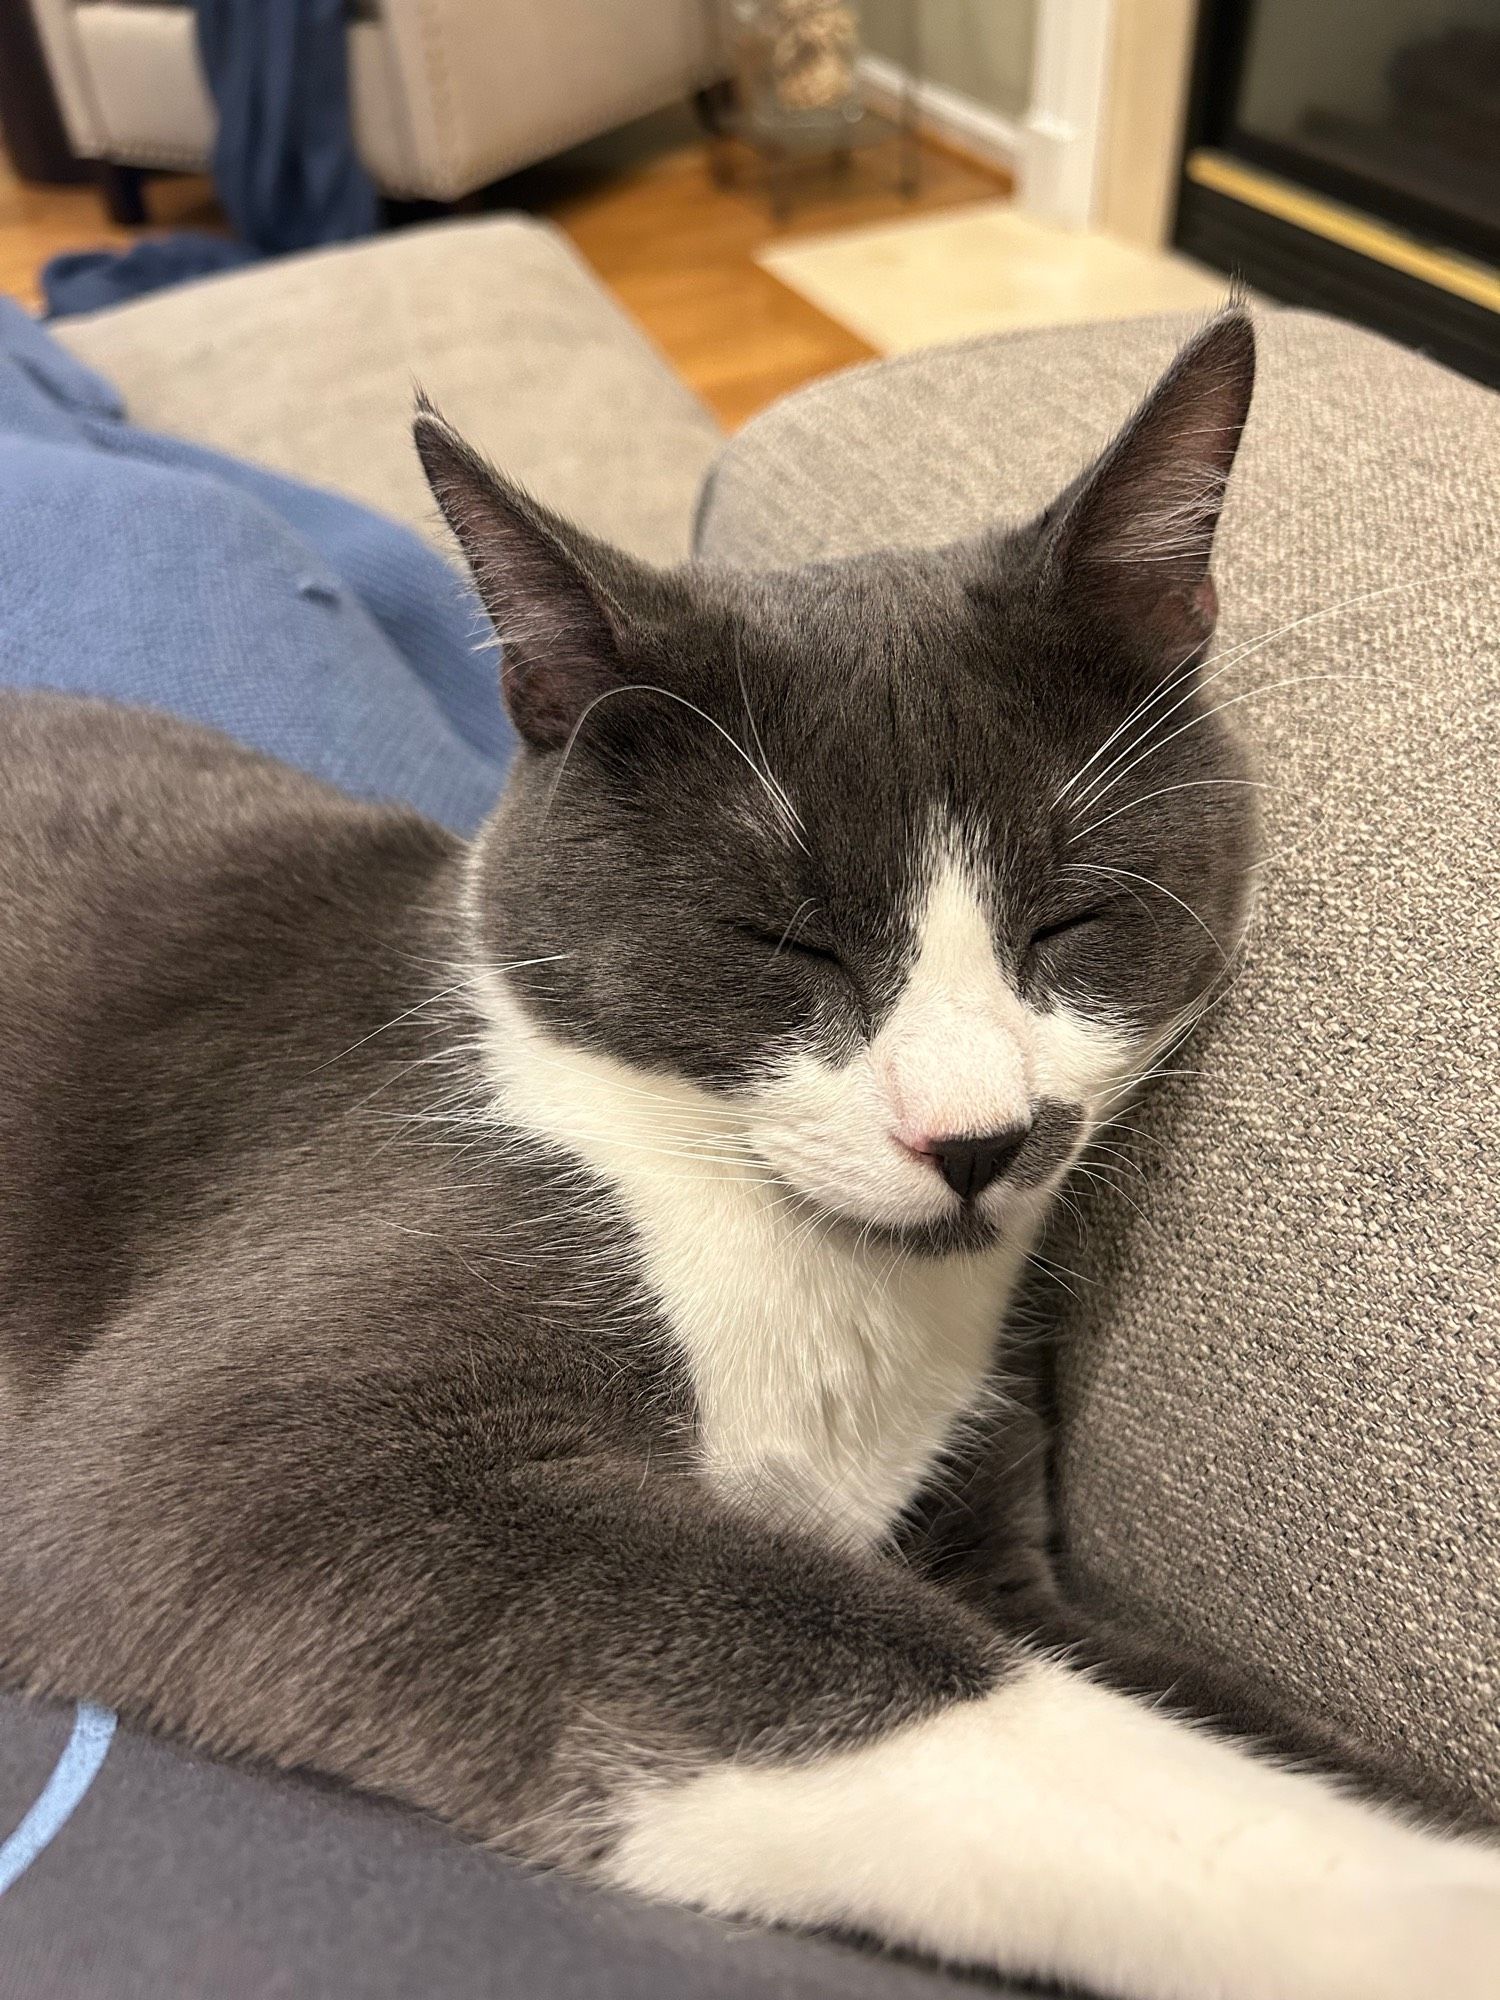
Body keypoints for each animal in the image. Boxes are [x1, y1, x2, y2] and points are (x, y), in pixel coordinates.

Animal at [2, 312, 1500, 2000]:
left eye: (1076, 913)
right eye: (781, 940)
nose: (975, 1138)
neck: (816, 1262)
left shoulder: (981, 1526)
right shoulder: (268, 1427)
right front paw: (1435, 1913)